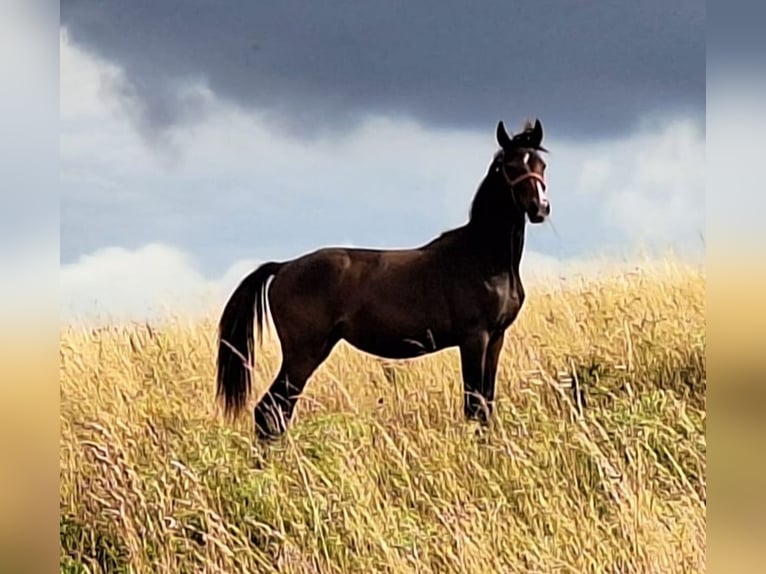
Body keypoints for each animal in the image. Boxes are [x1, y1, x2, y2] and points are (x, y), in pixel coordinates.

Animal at [216, 118, 551, 440]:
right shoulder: (474, 338)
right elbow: (474, 406)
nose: (540, 208)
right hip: (302, 354)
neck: (483, 256)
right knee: (269, 411)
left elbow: (486, 405)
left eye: (541, 164)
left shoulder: (495, 338)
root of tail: (283, 267)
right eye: (510, 166)